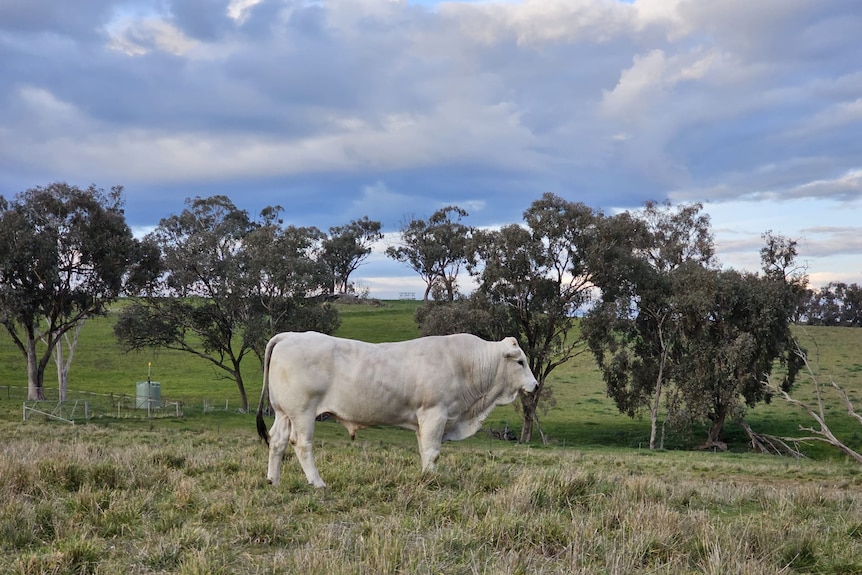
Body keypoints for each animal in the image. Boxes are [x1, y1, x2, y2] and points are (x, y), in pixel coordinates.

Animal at [256, 331, 538, 488]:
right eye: (521, 362)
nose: (535, 385)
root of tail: (290, 335)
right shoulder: (435, 414)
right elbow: (433, 452)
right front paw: (431, 480)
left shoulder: (423, 419)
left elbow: (424, 451)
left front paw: (425, 477)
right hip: (303, 412)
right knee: (301, 444)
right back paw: (317, 482)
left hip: (284, 413)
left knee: (277, 441)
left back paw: (273, 480)